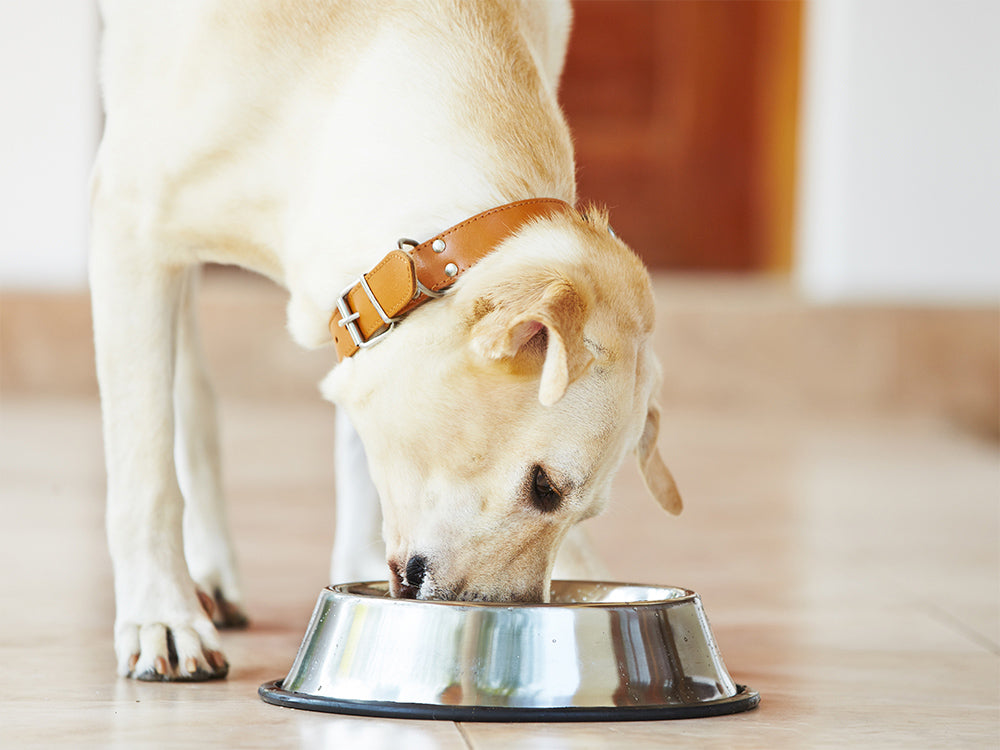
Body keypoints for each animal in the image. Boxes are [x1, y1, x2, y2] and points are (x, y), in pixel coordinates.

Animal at [90, 0, 684, 680]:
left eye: (582, 511)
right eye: (544, 487)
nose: (512, 621)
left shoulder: (360, 316)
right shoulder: (128, 227)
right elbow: (145, 472)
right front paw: (160, 615)